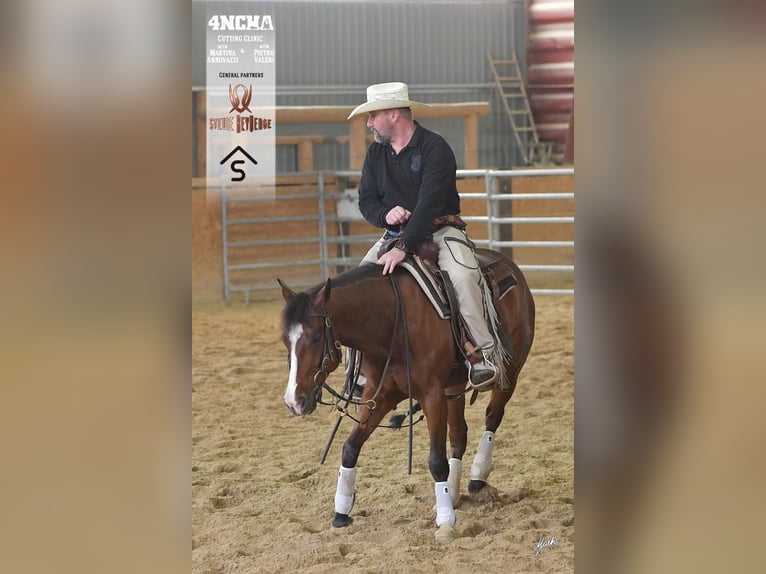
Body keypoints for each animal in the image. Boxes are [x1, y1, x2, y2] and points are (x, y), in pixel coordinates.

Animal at [280, 251, 536, 544]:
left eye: (315, 337)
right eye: (285, 340)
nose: (294, 402)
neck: (390, 322)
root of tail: (510, 265)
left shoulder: (432, 396)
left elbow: (436, 461)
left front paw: (445, 523)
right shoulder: (380, 395)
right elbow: (350, 448)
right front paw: (341, 512)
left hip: (509, 372)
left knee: (492, 417)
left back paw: (477, 476)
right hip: (454, 389)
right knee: (459, 435)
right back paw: (453, 492)